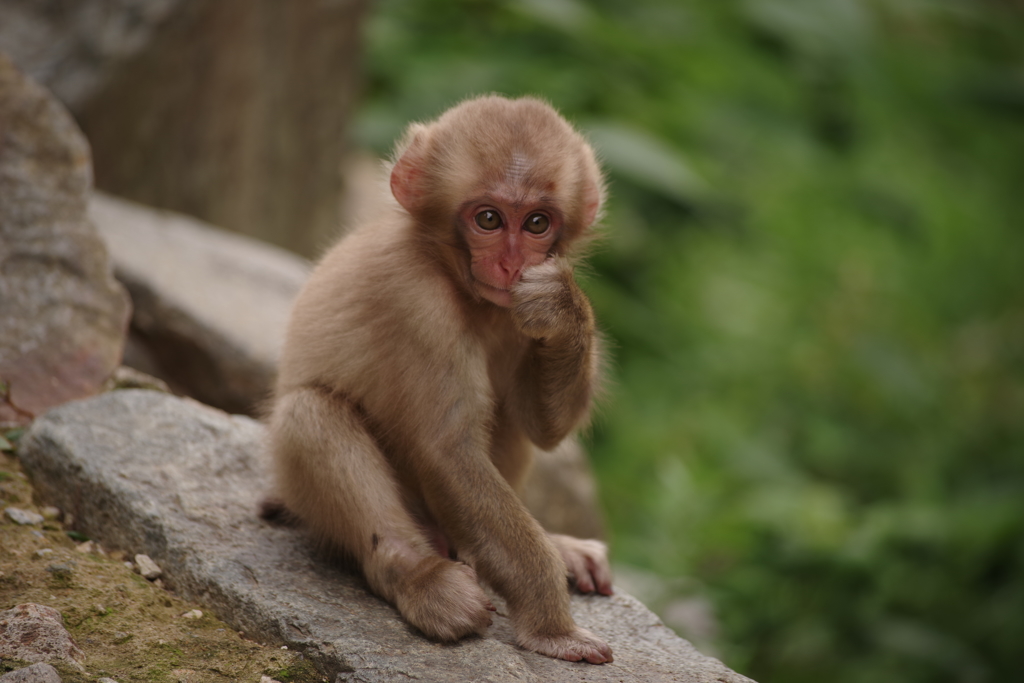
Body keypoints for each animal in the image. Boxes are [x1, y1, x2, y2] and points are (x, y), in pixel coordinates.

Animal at [268, 94, 610, 663]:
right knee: (309, 413)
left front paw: (565, 308)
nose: (511, 264)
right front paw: (553, 628)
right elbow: (447, 449)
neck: (453, 274)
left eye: (537, 223)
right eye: (488, 219)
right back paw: (416, 575)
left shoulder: (516, 306)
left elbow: (539, 427)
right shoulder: (414, 298)